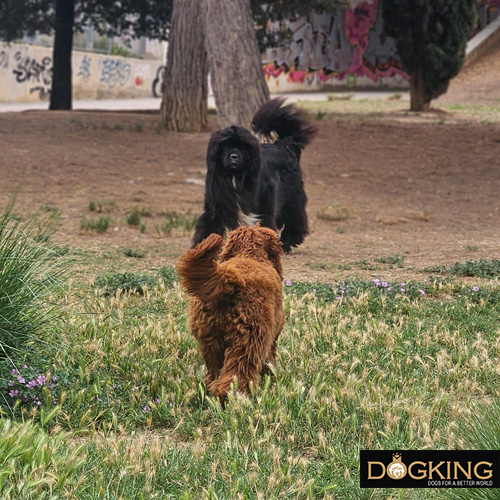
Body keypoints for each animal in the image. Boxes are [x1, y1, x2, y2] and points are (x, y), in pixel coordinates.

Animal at [177, 226, 286, 398]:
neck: (250, 255)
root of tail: (230, 280)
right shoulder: (272, 335)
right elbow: (270, 358)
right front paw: (270, 375)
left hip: (210, 340)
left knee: (215, 373)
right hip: (248, 341)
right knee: (236, 376)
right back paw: (238, 396)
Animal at [192, 97, 316, 254]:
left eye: (243, 147)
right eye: (226, 146)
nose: (234, 156)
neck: (235, 178)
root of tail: (284, 145)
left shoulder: (264, 208)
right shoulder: (216, 206)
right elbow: (209, 228)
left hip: (292, 198)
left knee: (294, 220)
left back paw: (286, 243)